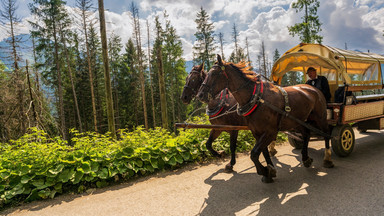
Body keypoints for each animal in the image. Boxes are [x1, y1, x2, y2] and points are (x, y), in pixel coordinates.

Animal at [196, 54, 334, 183]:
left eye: (214, 73)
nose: (200, 95)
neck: (257, 98)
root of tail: (313, 88)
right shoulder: (257, 132)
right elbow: (263, 152)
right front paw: (269, 171)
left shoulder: (270, 132)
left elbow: (254, 153)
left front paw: (263, 170)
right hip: (297, 121)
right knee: (306, 134)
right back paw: (305, 158)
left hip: (320, 118)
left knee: (327, 134)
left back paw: (327, 159)